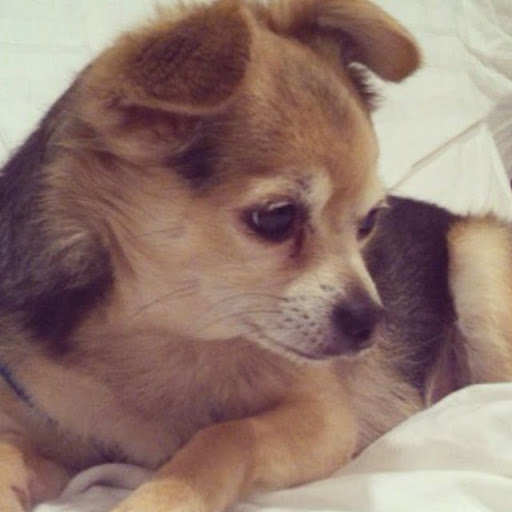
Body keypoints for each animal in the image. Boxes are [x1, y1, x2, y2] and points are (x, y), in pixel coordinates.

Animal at [1, 0, 512, 511]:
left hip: (478, 255)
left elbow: (226, 437)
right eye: (276, 218)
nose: (373, 323)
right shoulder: (54, 432)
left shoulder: (323, 417)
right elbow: (13, 455)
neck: (165, 332)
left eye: (368, 222)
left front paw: (162, 496)